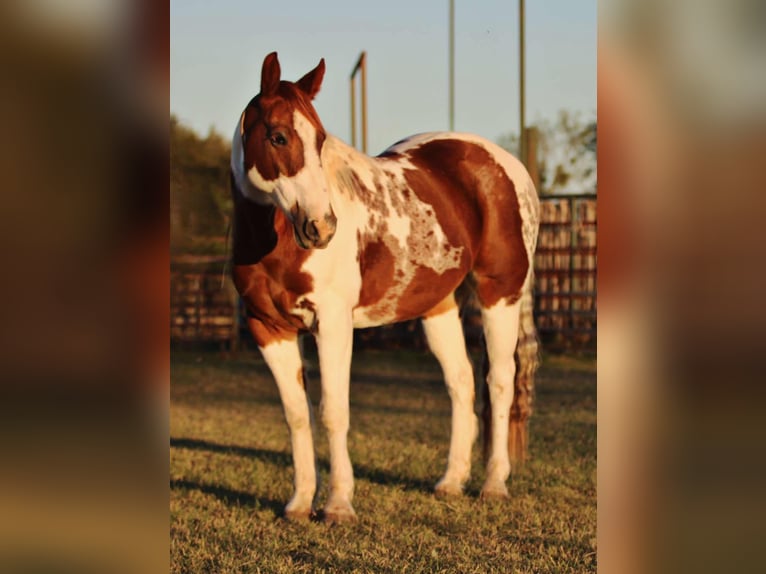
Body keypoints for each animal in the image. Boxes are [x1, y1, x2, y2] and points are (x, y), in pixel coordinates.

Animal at [230, 52, 539, 523]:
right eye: (277, 136)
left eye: (320, 140)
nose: (323, 227)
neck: (275, 240)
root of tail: (508, 165)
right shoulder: (268, 328)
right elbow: (297, 415)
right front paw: (300, 503)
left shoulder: (332, 324)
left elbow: (333, 411)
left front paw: (338, 505)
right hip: (438, 306)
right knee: (461, 382)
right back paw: (451, 482)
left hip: (500, 293)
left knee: (500, 380)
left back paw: (493, 484)